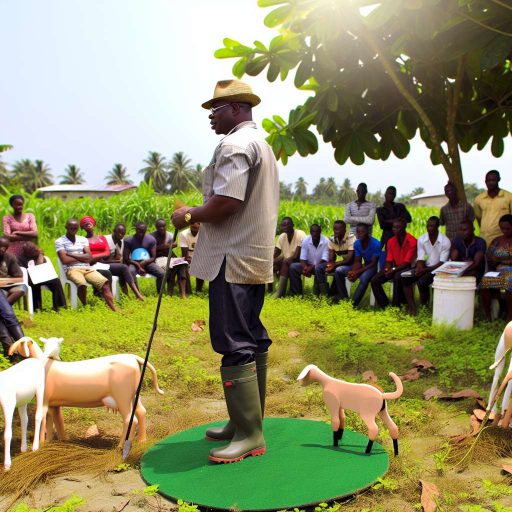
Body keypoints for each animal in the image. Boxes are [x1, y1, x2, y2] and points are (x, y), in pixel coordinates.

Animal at [0, 338, 45, 470]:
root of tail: (36, 360)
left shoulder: (8, 403)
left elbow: (8, 434)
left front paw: (7, 464)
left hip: (40, 390)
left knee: (38, 415)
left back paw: (35, 447)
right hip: (22, 400)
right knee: (25, 419)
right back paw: (23, 448)